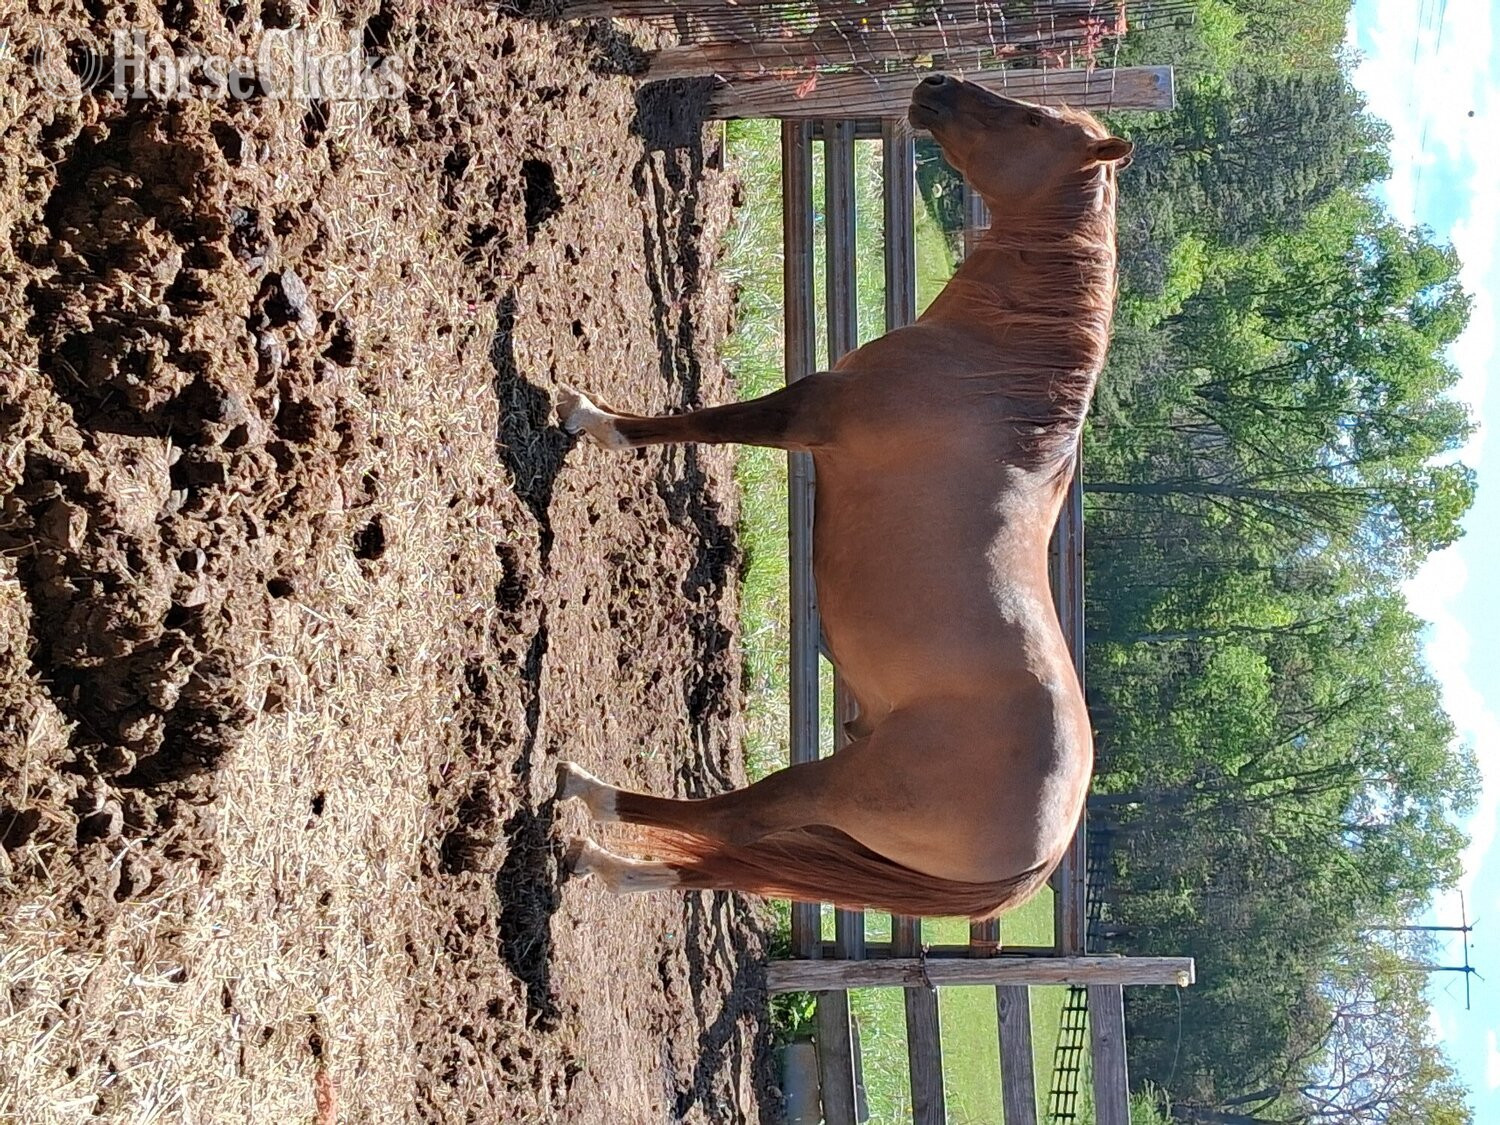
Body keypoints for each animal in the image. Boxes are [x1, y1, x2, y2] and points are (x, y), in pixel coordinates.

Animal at [554, 75, 1132, 920]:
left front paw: (592, 419)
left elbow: (696, 421)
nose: (934, 84)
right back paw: (612, 865)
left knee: (731, 820)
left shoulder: (804, 416)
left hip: (835, 788)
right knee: (724, 860)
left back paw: (589, 796)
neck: (992, 375)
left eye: (1031, 121)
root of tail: (1041, 858)